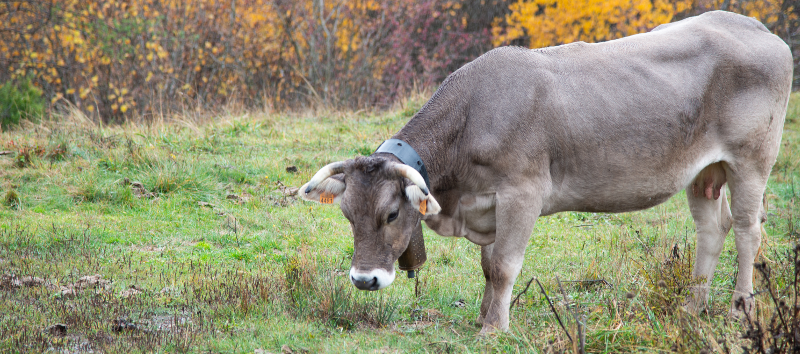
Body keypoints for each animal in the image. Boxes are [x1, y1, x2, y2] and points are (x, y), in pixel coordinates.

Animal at [298, 10, 792, 332]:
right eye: (348, 215)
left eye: (391, 214)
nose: (364, 280)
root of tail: (752, 25)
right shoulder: (488, 201)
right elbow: (487, 266)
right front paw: (484, 317)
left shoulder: (523, 191)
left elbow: (502, 266)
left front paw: (494, 330)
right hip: (703, 172)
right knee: (712, 228)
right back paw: (692, 308)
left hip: (752, 158)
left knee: (748, 229)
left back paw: (740, 308)